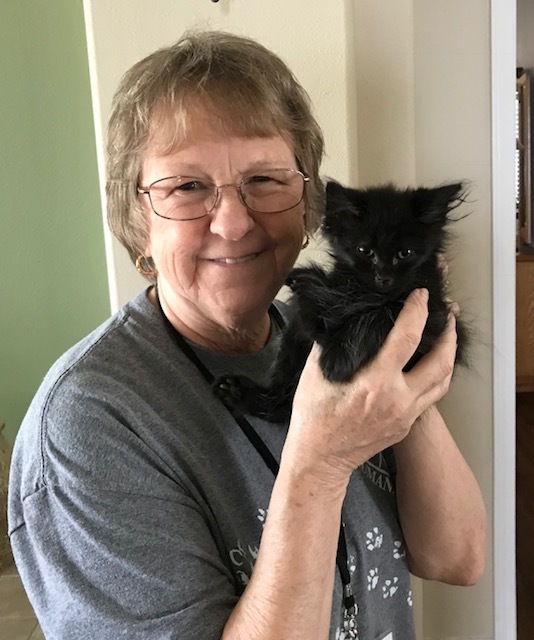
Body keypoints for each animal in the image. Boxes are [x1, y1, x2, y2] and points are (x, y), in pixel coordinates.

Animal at [216, 180, 472, 422]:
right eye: (364, 251)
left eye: (405, 253)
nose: (384, 277)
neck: (367, 293)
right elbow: (319, 314)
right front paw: (306, 283)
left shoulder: (433, 312)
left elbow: (381, 312)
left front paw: (337, 359)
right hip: (290, 350)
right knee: (281, 402)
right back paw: (239, 392)